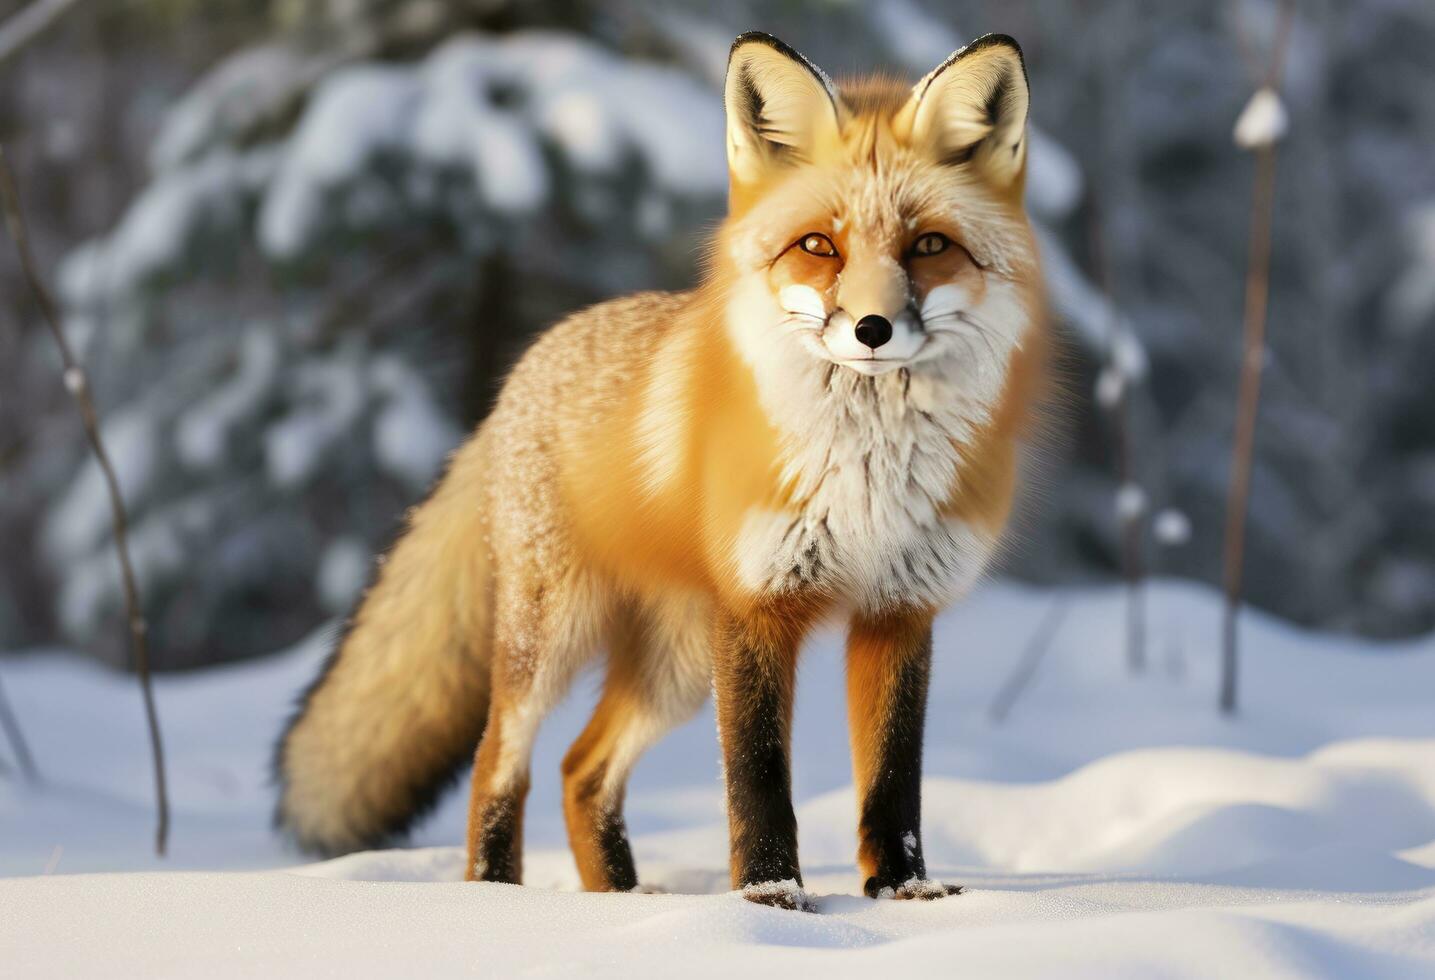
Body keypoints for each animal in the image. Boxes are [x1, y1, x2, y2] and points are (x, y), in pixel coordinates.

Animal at [274, 34, 1050, 918]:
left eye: (928, 246)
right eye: (818, 246)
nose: (872, 329)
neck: (866, 477)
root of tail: (520, 376)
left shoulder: (899, 610)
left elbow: (892, 779)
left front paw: (903, 892)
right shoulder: (756, 607)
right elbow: (756, 777)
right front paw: (769, 898)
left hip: (672, 669)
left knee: (580, 770)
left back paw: (619, 900)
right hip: (557, 639)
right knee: (498, 760)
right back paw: (498, 899)